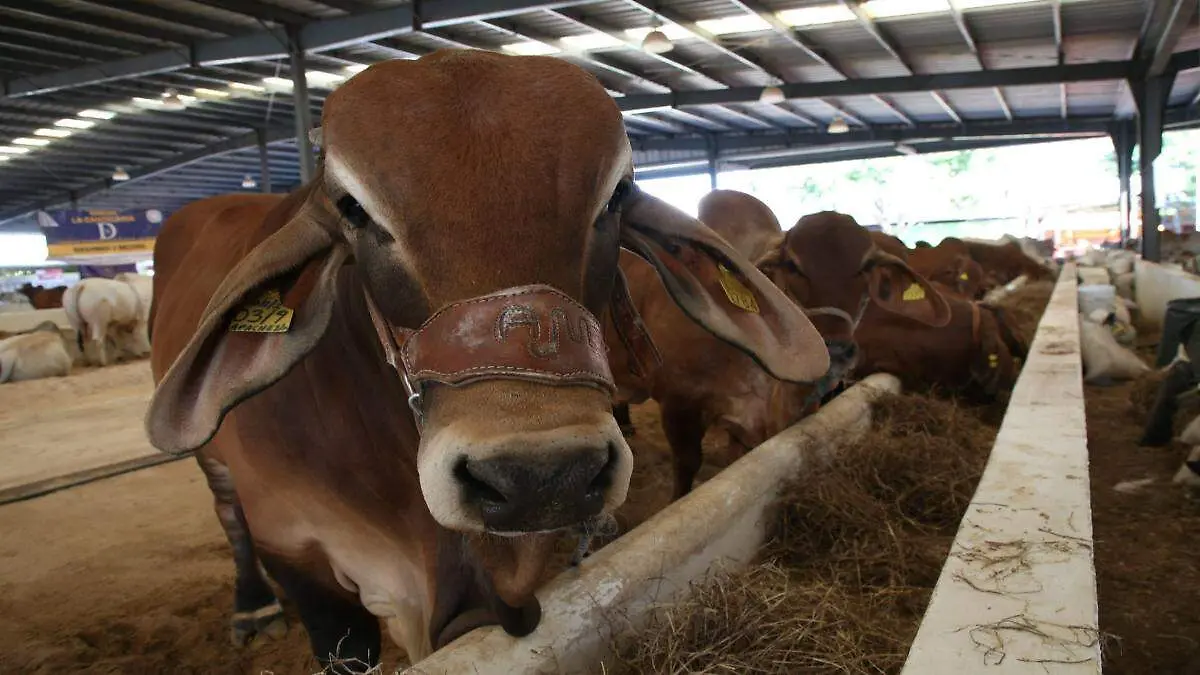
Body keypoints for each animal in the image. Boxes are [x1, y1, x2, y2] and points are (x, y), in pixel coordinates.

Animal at [145, 49, 830, 667]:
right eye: (352, 209)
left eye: (616, 196)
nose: (541, 476)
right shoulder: (296, 552)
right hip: (216, 469)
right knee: (227, 513)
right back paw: (252, 608)